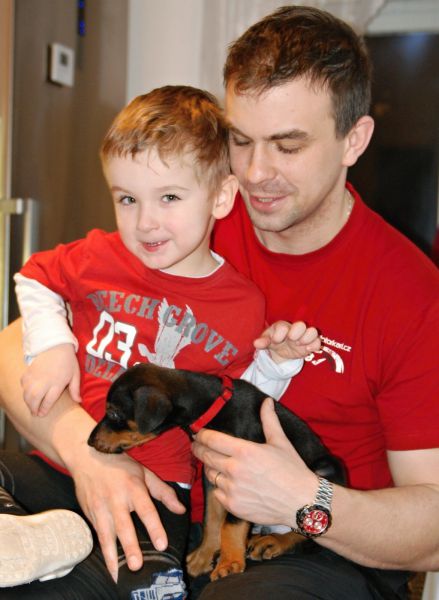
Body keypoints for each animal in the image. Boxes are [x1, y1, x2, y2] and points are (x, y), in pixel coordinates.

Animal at [88, 363, 345, 580]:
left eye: (114, 413)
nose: (90, 441)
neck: (212, 407)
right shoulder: (212, 476)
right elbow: (212, 517)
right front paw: (204, 556)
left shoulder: (246, 475)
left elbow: (230, 523)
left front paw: (229, 563)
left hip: (328, 468)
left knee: (311, 535)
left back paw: (273, 542)